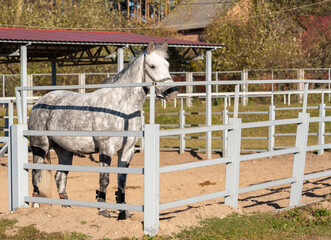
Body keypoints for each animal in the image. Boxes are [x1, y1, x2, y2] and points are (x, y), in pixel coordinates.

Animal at [28, 41, 179, 219]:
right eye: (152, 66)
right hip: (40, 147)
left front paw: (123, 213)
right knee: (36, 174)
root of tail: (39, 102)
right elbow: (104, 179)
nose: (172, 93)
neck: (122, 109)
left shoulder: (127, 151)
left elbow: (122, 180)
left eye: (167, 65)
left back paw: (67, 207)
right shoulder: (106, 149)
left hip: (64, 151)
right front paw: (103, 210)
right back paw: (36, 206)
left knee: (60, 177)